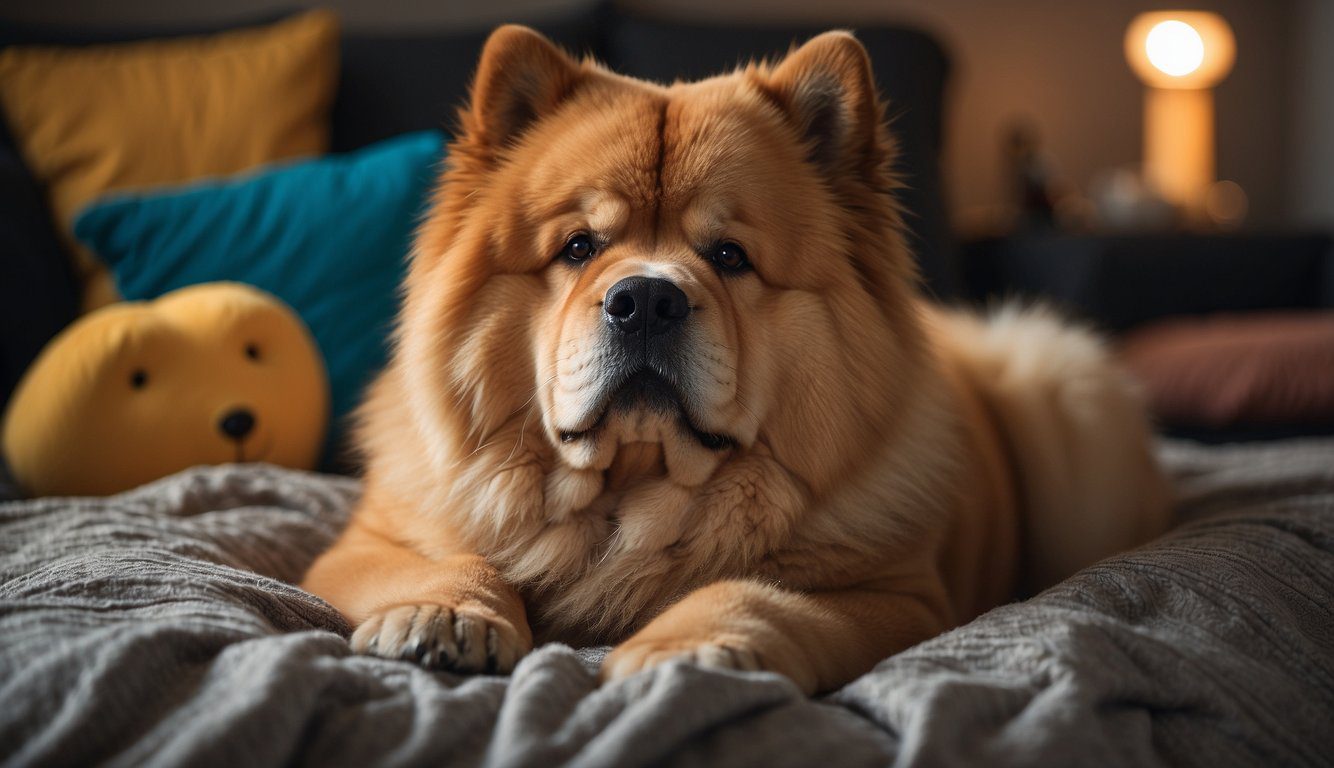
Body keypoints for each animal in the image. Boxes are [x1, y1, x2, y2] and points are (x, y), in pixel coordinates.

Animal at [300, 27, 1168, 693]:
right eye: (579, 248)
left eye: (729, 256)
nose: (646, 299)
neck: (630, 492)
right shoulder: (365, 543)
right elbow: (444, 563)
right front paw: (446, 615)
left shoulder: (891, 592)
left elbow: (755, 593)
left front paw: (683, 647)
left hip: (1064, 400)